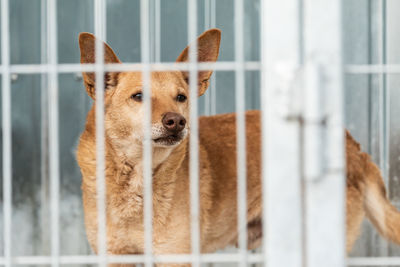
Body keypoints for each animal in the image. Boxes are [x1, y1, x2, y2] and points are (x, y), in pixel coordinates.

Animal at [76, 28, 400, 262]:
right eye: (138, 97)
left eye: (181, 97)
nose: (177, 121)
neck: (135, 177)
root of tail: (349, 143)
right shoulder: (115, 256)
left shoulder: (176, 257)